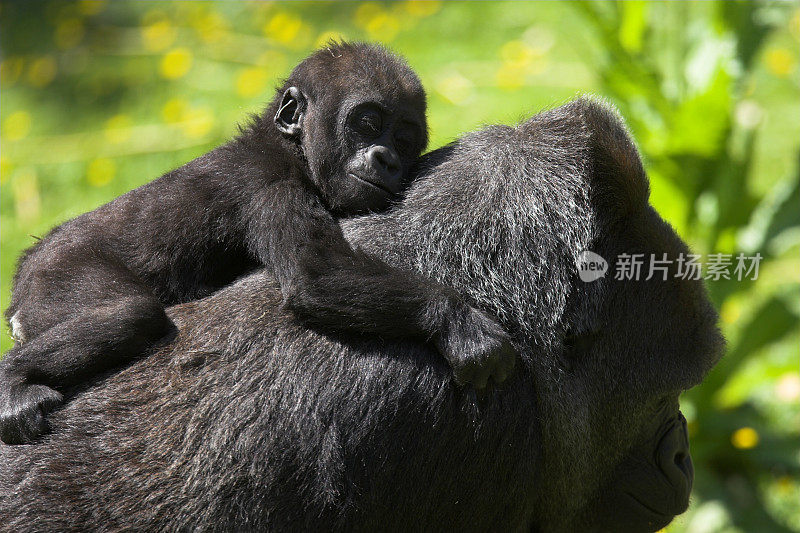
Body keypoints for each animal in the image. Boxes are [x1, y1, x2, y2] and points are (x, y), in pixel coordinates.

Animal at [1, 41, 512, 442]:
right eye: (366, 124)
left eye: (405, 139)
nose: (387, 158)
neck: (290, 145)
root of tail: (25, 272)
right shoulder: (269, 184)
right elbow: (316, 275)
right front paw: (455, 320)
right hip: (57, 272)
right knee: (132, 313)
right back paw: (13, 378)